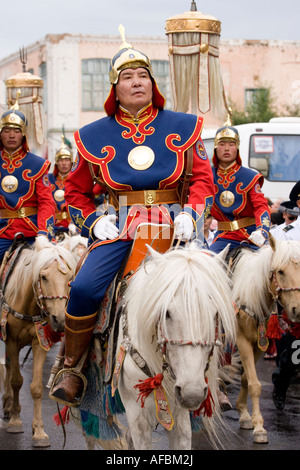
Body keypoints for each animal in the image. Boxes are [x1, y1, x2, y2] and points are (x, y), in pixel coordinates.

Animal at [232, 237, 300, 442]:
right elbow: (255, 384)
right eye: (281, 271)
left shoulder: (258, 344)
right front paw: (259, 428)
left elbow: (247, 378)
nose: (297, 310)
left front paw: (245, 415)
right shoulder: (242, 340)